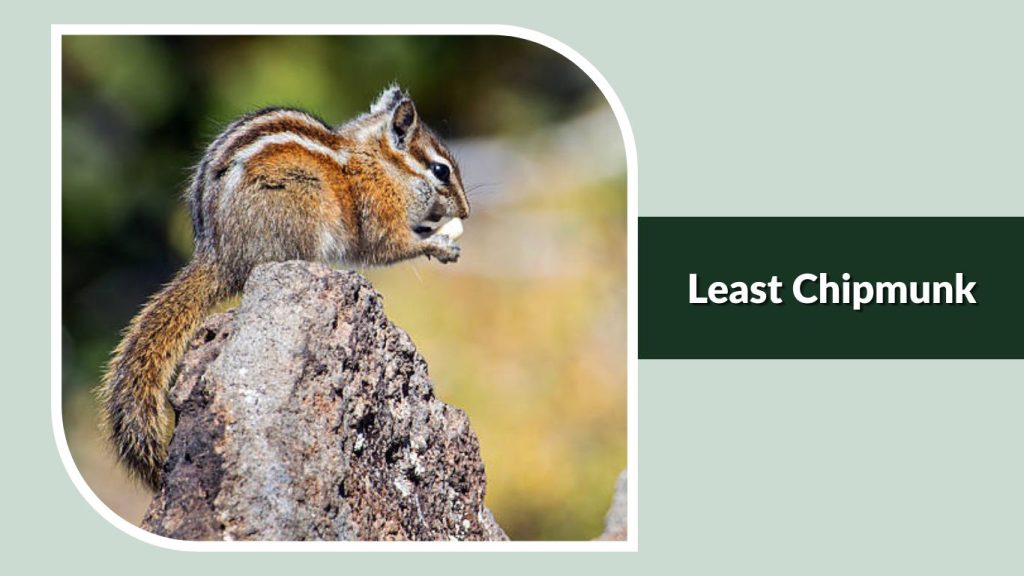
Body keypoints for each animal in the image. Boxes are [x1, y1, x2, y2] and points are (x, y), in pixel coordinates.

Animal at [98, 85, 471, 490]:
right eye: (440, 170)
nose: (466, 212)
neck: (379, 164)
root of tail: (219, 256)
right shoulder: (378, 213)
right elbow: (392, 246)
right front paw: (439, 245)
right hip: (300, 206)